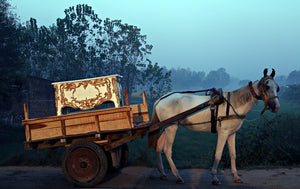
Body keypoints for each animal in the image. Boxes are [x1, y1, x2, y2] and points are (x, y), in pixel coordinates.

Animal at [151, 68, 280, 185]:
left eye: (277, 87)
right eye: (267, 86)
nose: (276, 107)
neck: (234, 104)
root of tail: (161, 99)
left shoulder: (232, 134)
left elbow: (233, 154)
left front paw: (236, 176)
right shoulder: (223, 133)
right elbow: (218, 154)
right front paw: (214, 177)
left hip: (167, 127)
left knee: (159, 146)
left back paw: (163, 173)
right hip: (171, 128)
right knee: (167, 150)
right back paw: (177, 176)